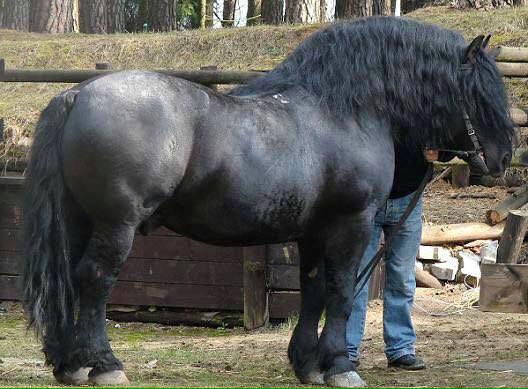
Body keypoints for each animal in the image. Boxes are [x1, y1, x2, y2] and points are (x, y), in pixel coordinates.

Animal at [22, 16, 512, 386]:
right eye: (481, 94)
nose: (505, 157)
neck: (343, 108)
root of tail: (76, 94)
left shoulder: (315, 231)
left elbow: (313, 290)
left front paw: (307, 364)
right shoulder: (352, 224)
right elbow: (340, 291)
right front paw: (339, 366)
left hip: (79, 221)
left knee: (69, 280)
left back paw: (69, 365)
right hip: (116, 224)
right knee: (94, 280)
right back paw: (104, 365)